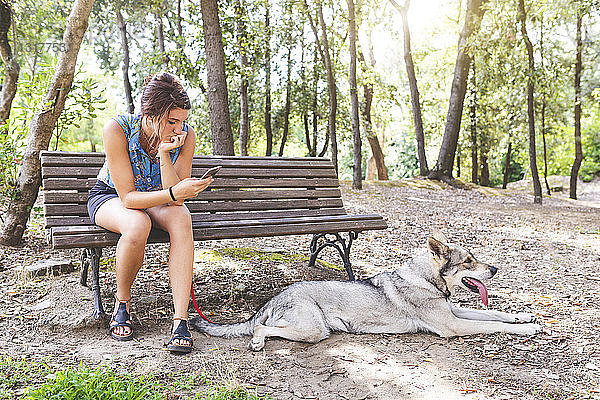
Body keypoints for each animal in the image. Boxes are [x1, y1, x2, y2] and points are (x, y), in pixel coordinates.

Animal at [190, 231, 540, 350]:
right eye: (468, 261)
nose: (494, 270)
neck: (427, 279)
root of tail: (276, 297)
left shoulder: (454, 311)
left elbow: (495, 313)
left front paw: (522, 317)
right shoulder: (453, 325)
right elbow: (491, 324)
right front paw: (529, 329)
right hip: (314, 329)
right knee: (261, 328)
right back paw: (258, 341)